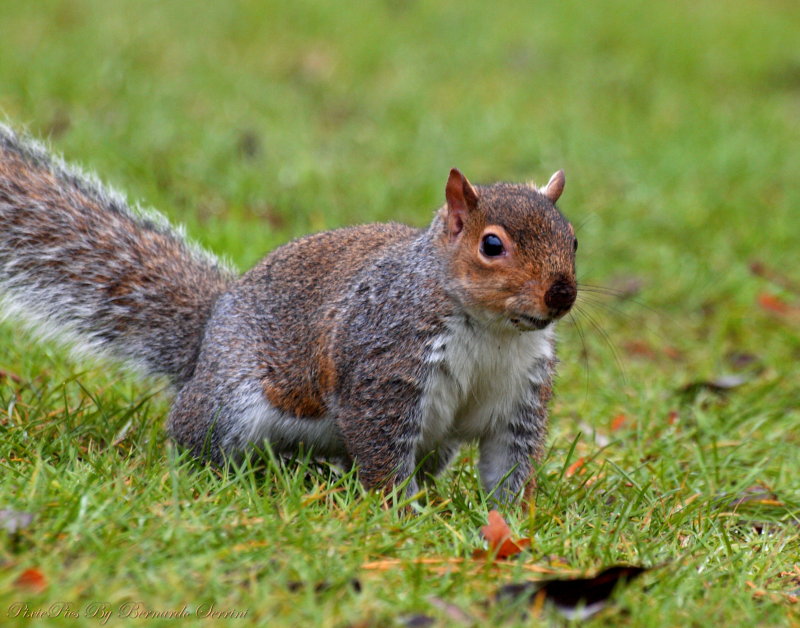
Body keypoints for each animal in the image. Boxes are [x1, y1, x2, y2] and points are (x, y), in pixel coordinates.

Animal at [0, 123, 578, 504]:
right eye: (491, 245)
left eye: (572, 238)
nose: (563, 294)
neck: (492, 333)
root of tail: (207, 338)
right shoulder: (384, 366)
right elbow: (382, 449)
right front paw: (400, 512)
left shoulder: (521, 392)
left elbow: (509, 461)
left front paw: (511, 521)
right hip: (230, 407)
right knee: (193, 436)